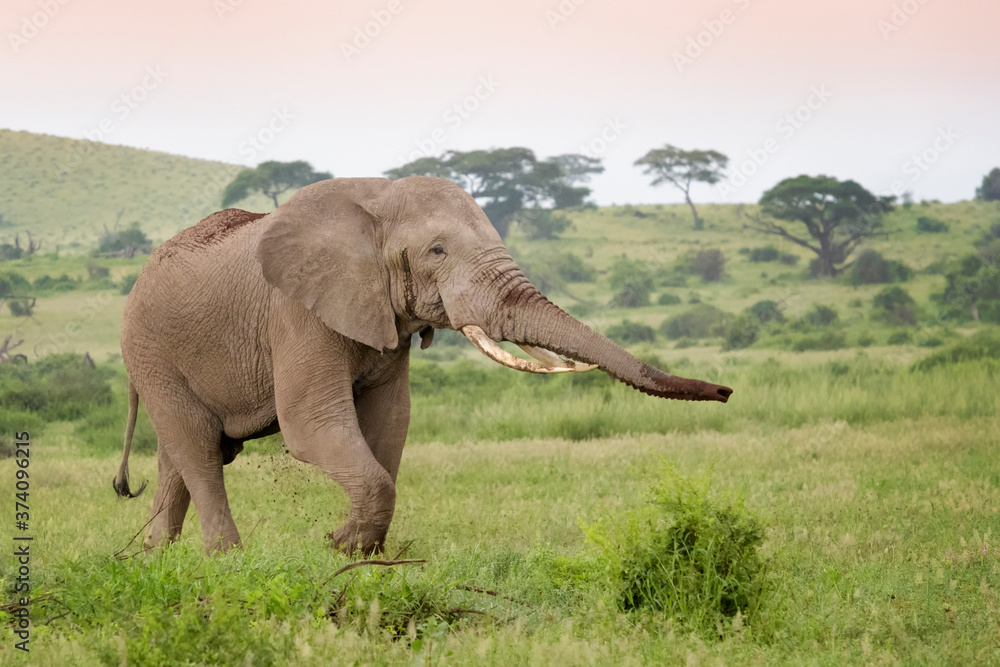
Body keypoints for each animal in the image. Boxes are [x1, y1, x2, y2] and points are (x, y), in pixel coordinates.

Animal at [113, 176, 732, 555]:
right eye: (437, 251)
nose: (726, 393)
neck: (374, 201)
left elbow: (390, 422)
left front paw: (360, 553)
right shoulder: (296, 312)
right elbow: (311, 425)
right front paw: (340, 544)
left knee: (183, 453)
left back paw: (156, 559)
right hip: (150, 347)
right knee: (197, 446)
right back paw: (227, 561)